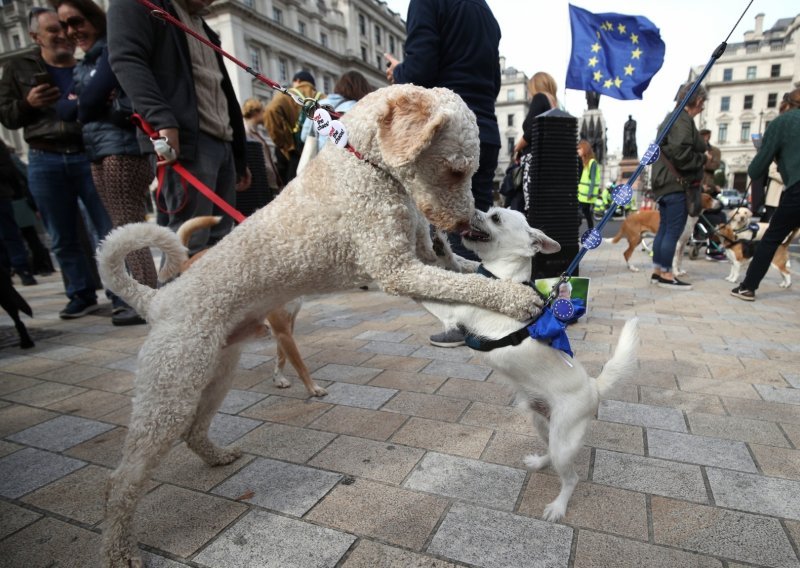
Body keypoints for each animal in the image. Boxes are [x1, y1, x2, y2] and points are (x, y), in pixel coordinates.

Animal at [422, 207, 640, 520]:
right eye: (488, 210)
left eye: (495, 217)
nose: (474, 209)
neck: (502, 277)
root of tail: (594, 386)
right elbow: (453, 269)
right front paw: (440, 246)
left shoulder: (454, 311)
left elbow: (431, 291)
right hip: (540, 421)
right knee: (549, 449)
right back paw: (539, 462)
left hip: (564, 439)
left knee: (571, 478)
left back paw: (558, 507)